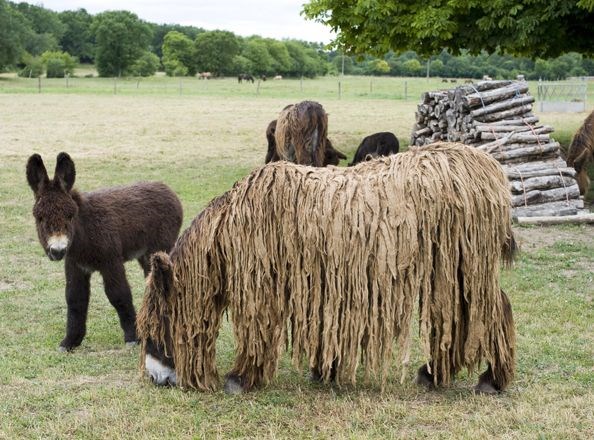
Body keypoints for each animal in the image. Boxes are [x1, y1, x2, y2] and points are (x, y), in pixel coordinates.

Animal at [26, 153, 183, 352]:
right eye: (40, 218)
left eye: (70, 216)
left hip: (159, 248)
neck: (84, 231)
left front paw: (133, 337)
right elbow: (75, 299)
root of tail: (166, 188)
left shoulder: (111, 262)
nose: (58, 250)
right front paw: (70, 341)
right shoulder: (75, 265)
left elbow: (119, 295)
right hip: (145, 255)